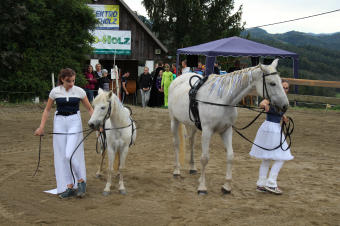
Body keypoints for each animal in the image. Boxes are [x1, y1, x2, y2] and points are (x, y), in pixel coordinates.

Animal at [169, 59, 288, 194]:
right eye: (272, 83)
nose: (285, 105)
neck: (222, 99)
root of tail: (178, 79)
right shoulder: (207, 131)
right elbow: (205, 158)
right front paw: (202, 187)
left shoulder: (226, 130)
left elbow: (230, 156)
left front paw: (226, 186)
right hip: (174, 120)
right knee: (176, 143)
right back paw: (177, 170)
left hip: (193, 125)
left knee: (191, 142)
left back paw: (193, 168)